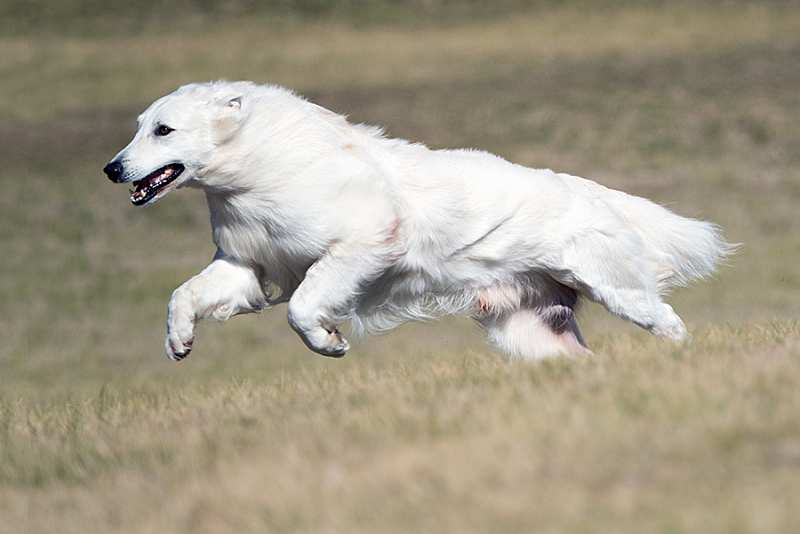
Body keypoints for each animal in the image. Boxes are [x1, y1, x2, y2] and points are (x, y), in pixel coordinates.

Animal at [104, 81, 732, 362]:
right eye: (140, 127)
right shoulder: (247, 267)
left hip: (616, 288)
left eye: (163, 129)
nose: (111, 169)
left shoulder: (361, 244)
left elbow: (303, 309)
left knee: (669, 321)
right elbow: (183, 295)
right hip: (531, 331)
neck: (262, 167)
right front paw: (178, 342)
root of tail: (586, 189)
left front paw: (329, 342)